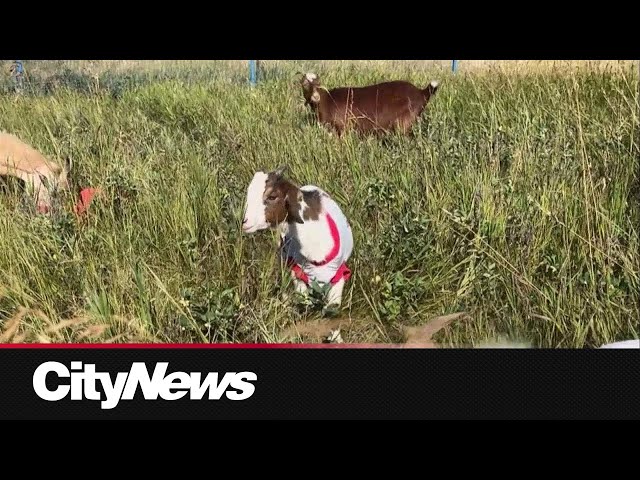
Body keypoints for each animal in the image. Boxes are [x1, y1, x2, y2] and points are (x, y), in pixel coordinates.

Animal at [298, 72, 438, 137]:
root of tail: (422, 92)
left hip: (404, 123)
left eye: (318, 84)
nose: (315, 97)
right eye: (304, 85)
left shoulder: (342, 128)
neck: (327, 100)